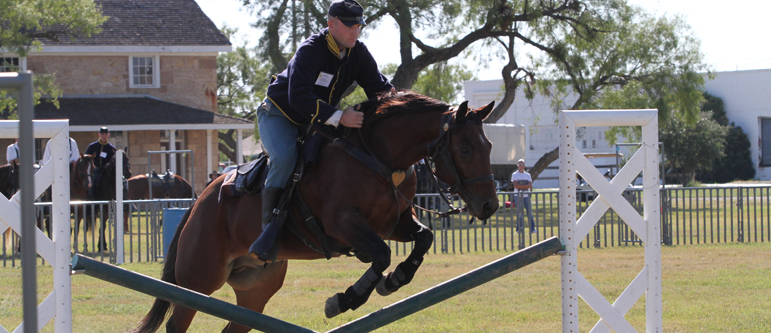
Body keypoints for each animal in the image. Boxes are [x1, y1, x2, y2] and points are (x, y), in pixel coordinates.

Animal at [137, 91, 500, 332]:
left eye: (489, 146)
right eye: (465, 149)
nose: (489, 205)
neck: (377, 156)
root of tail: (198, 202)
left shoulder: (394, 223)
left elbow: (424, 238)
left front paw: (395, 280)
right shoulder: (343, 224)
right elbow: (380, 255)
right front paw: (345, 299)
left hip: (256, 286)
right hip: (199, 279)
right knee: (177, 322)